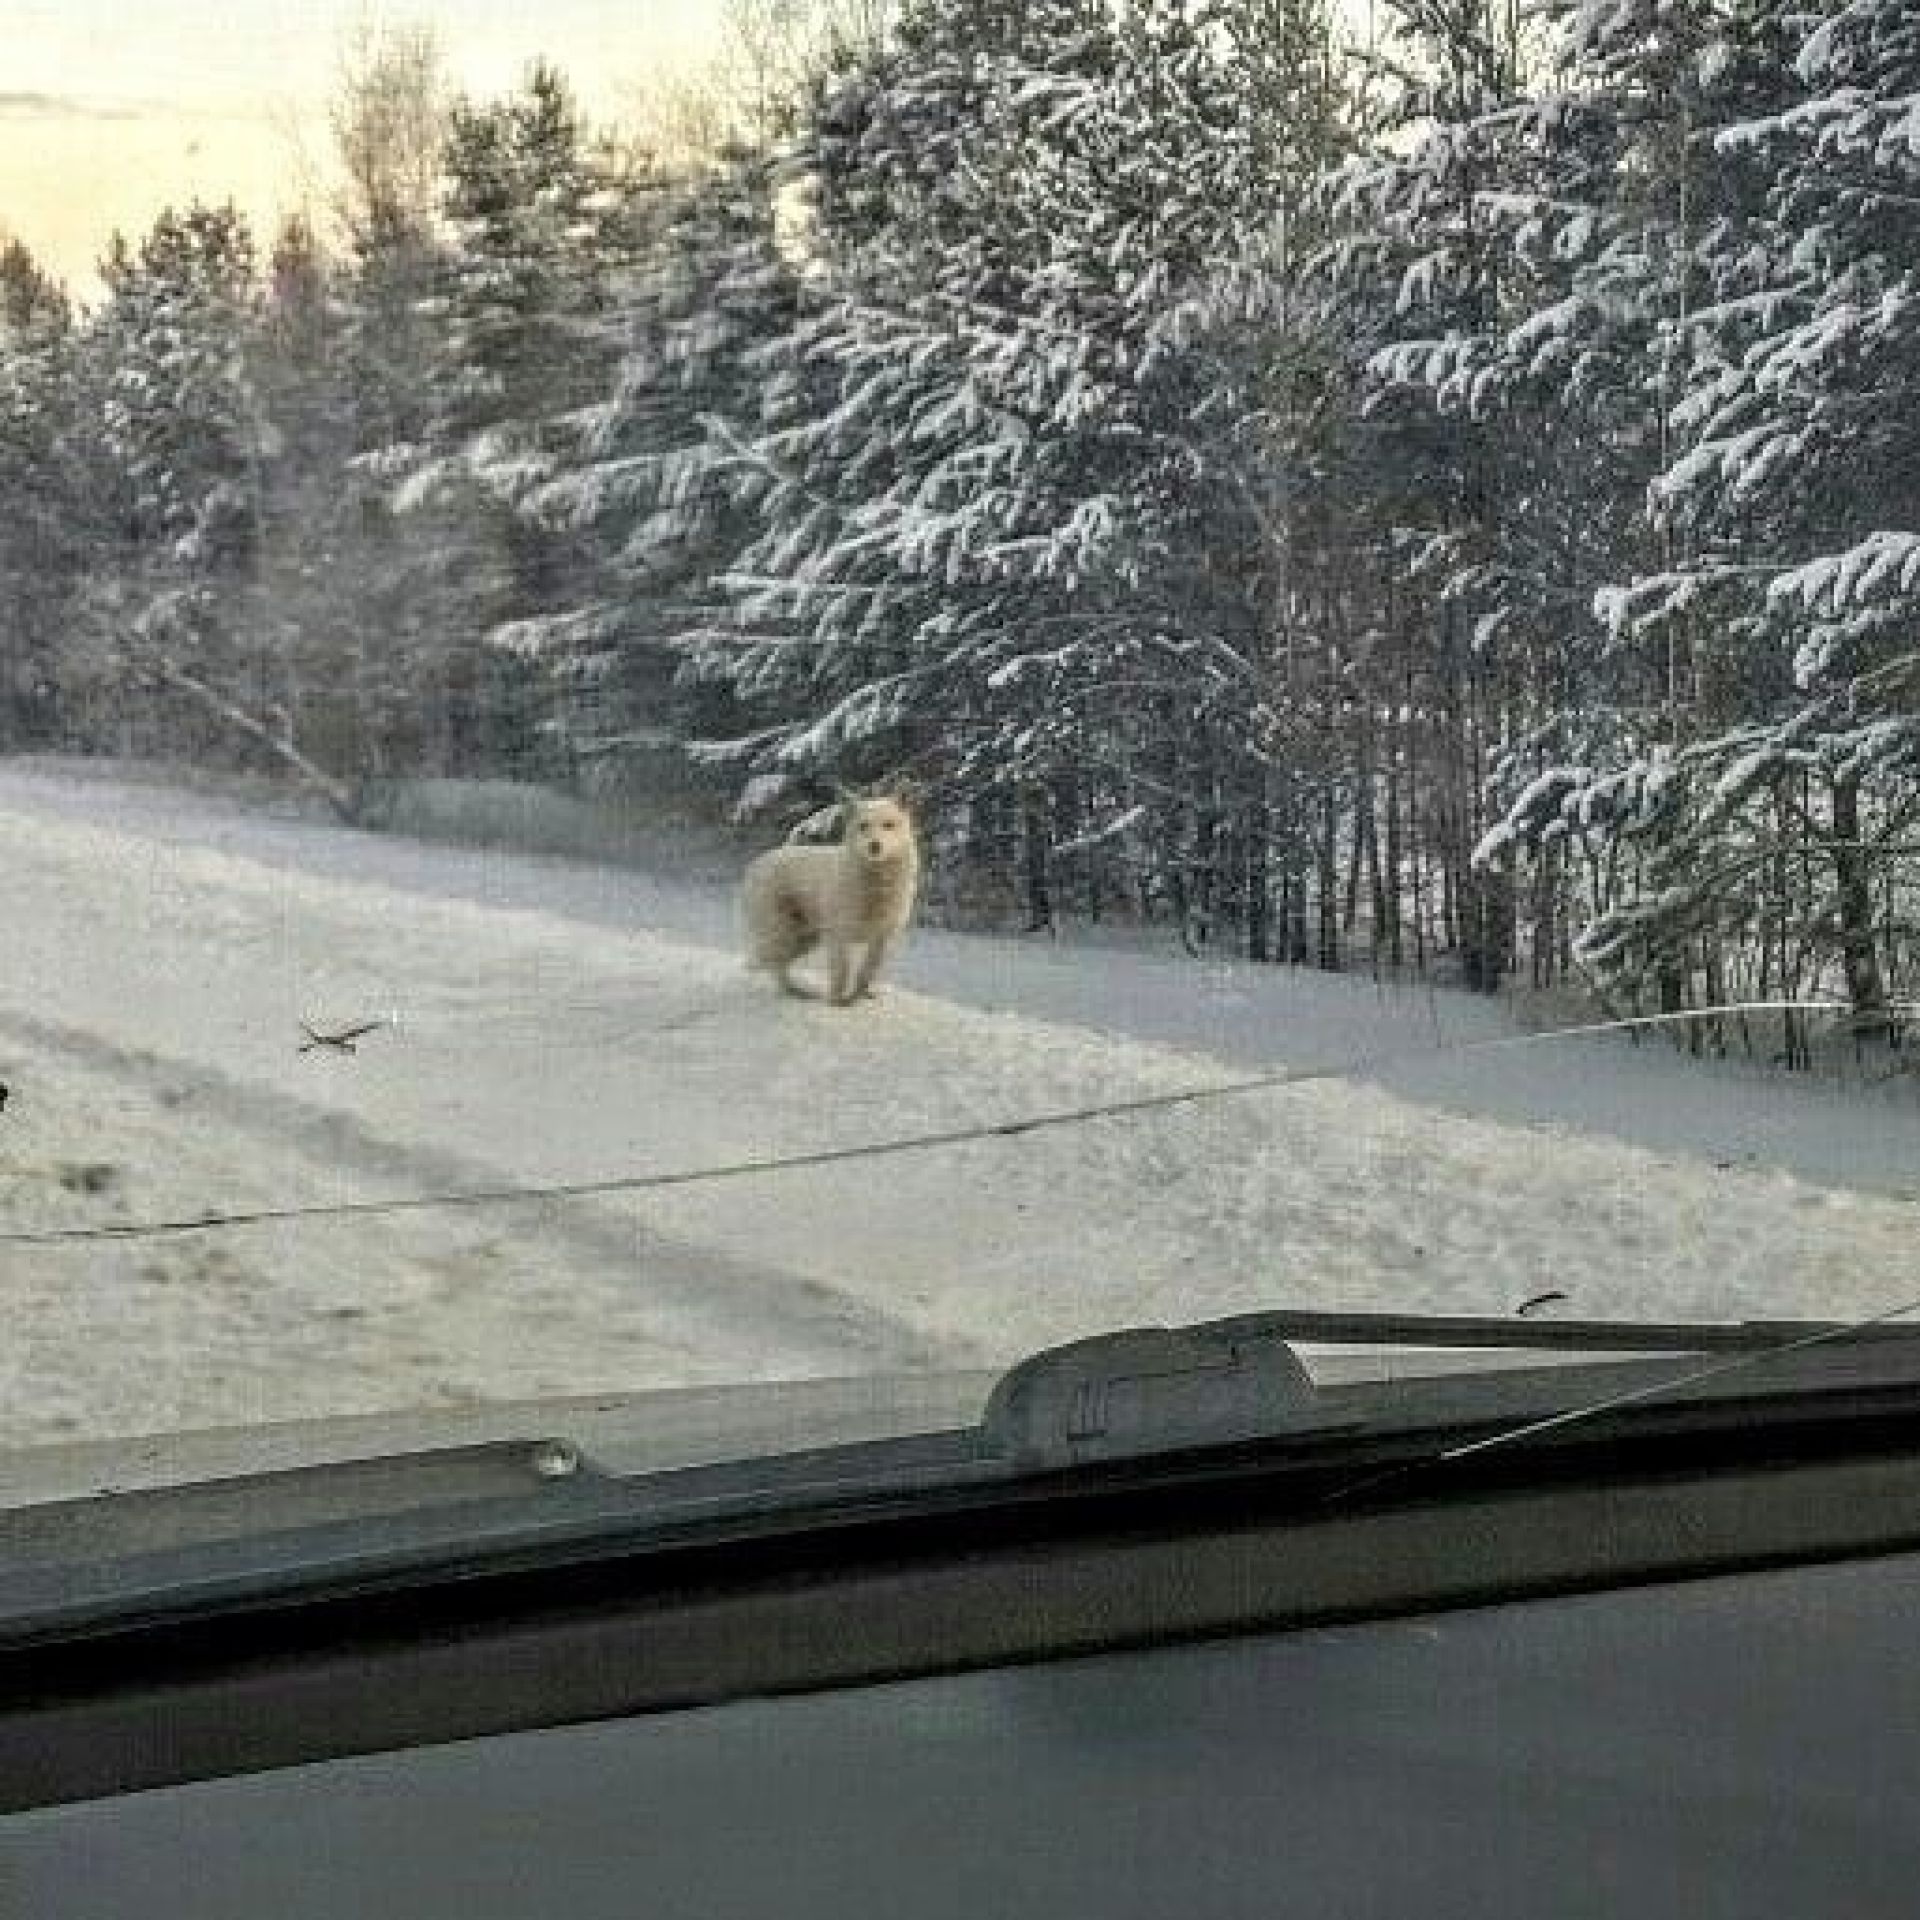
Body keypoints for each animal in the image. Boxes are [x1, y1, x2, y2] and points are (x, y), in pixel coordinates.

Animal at [741, 794, 921, 1006]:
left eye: (889, 825)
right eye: (863, 826)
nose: (874, 846)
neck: (878, 881)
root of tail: (757, 862)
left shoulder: (881, 939)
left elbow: (868, 970)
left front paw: (861, 994)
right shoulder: (839, 936)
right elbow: (841, 971)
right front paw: (837, 1002)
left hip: (805, 938)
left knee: (781, 962)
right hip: (782, 932)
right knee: (776, 965)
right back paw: (792, 992)